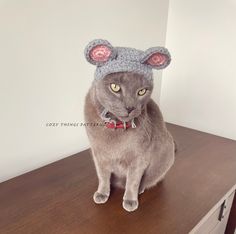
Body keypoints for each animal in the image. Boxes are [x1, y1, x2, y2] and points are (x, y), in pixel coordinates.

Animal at [84, 38, 174, 212]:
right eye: (115, 87)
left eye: (142, 91)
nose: (130, 107)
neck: (115, 129)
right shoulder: (98, 155)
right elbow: (103, 176)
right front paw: (102, 193)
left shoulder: (139, 158)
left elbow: (133, 180)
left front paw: (130, 201)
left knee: (147, 179)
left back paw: (140, 189)